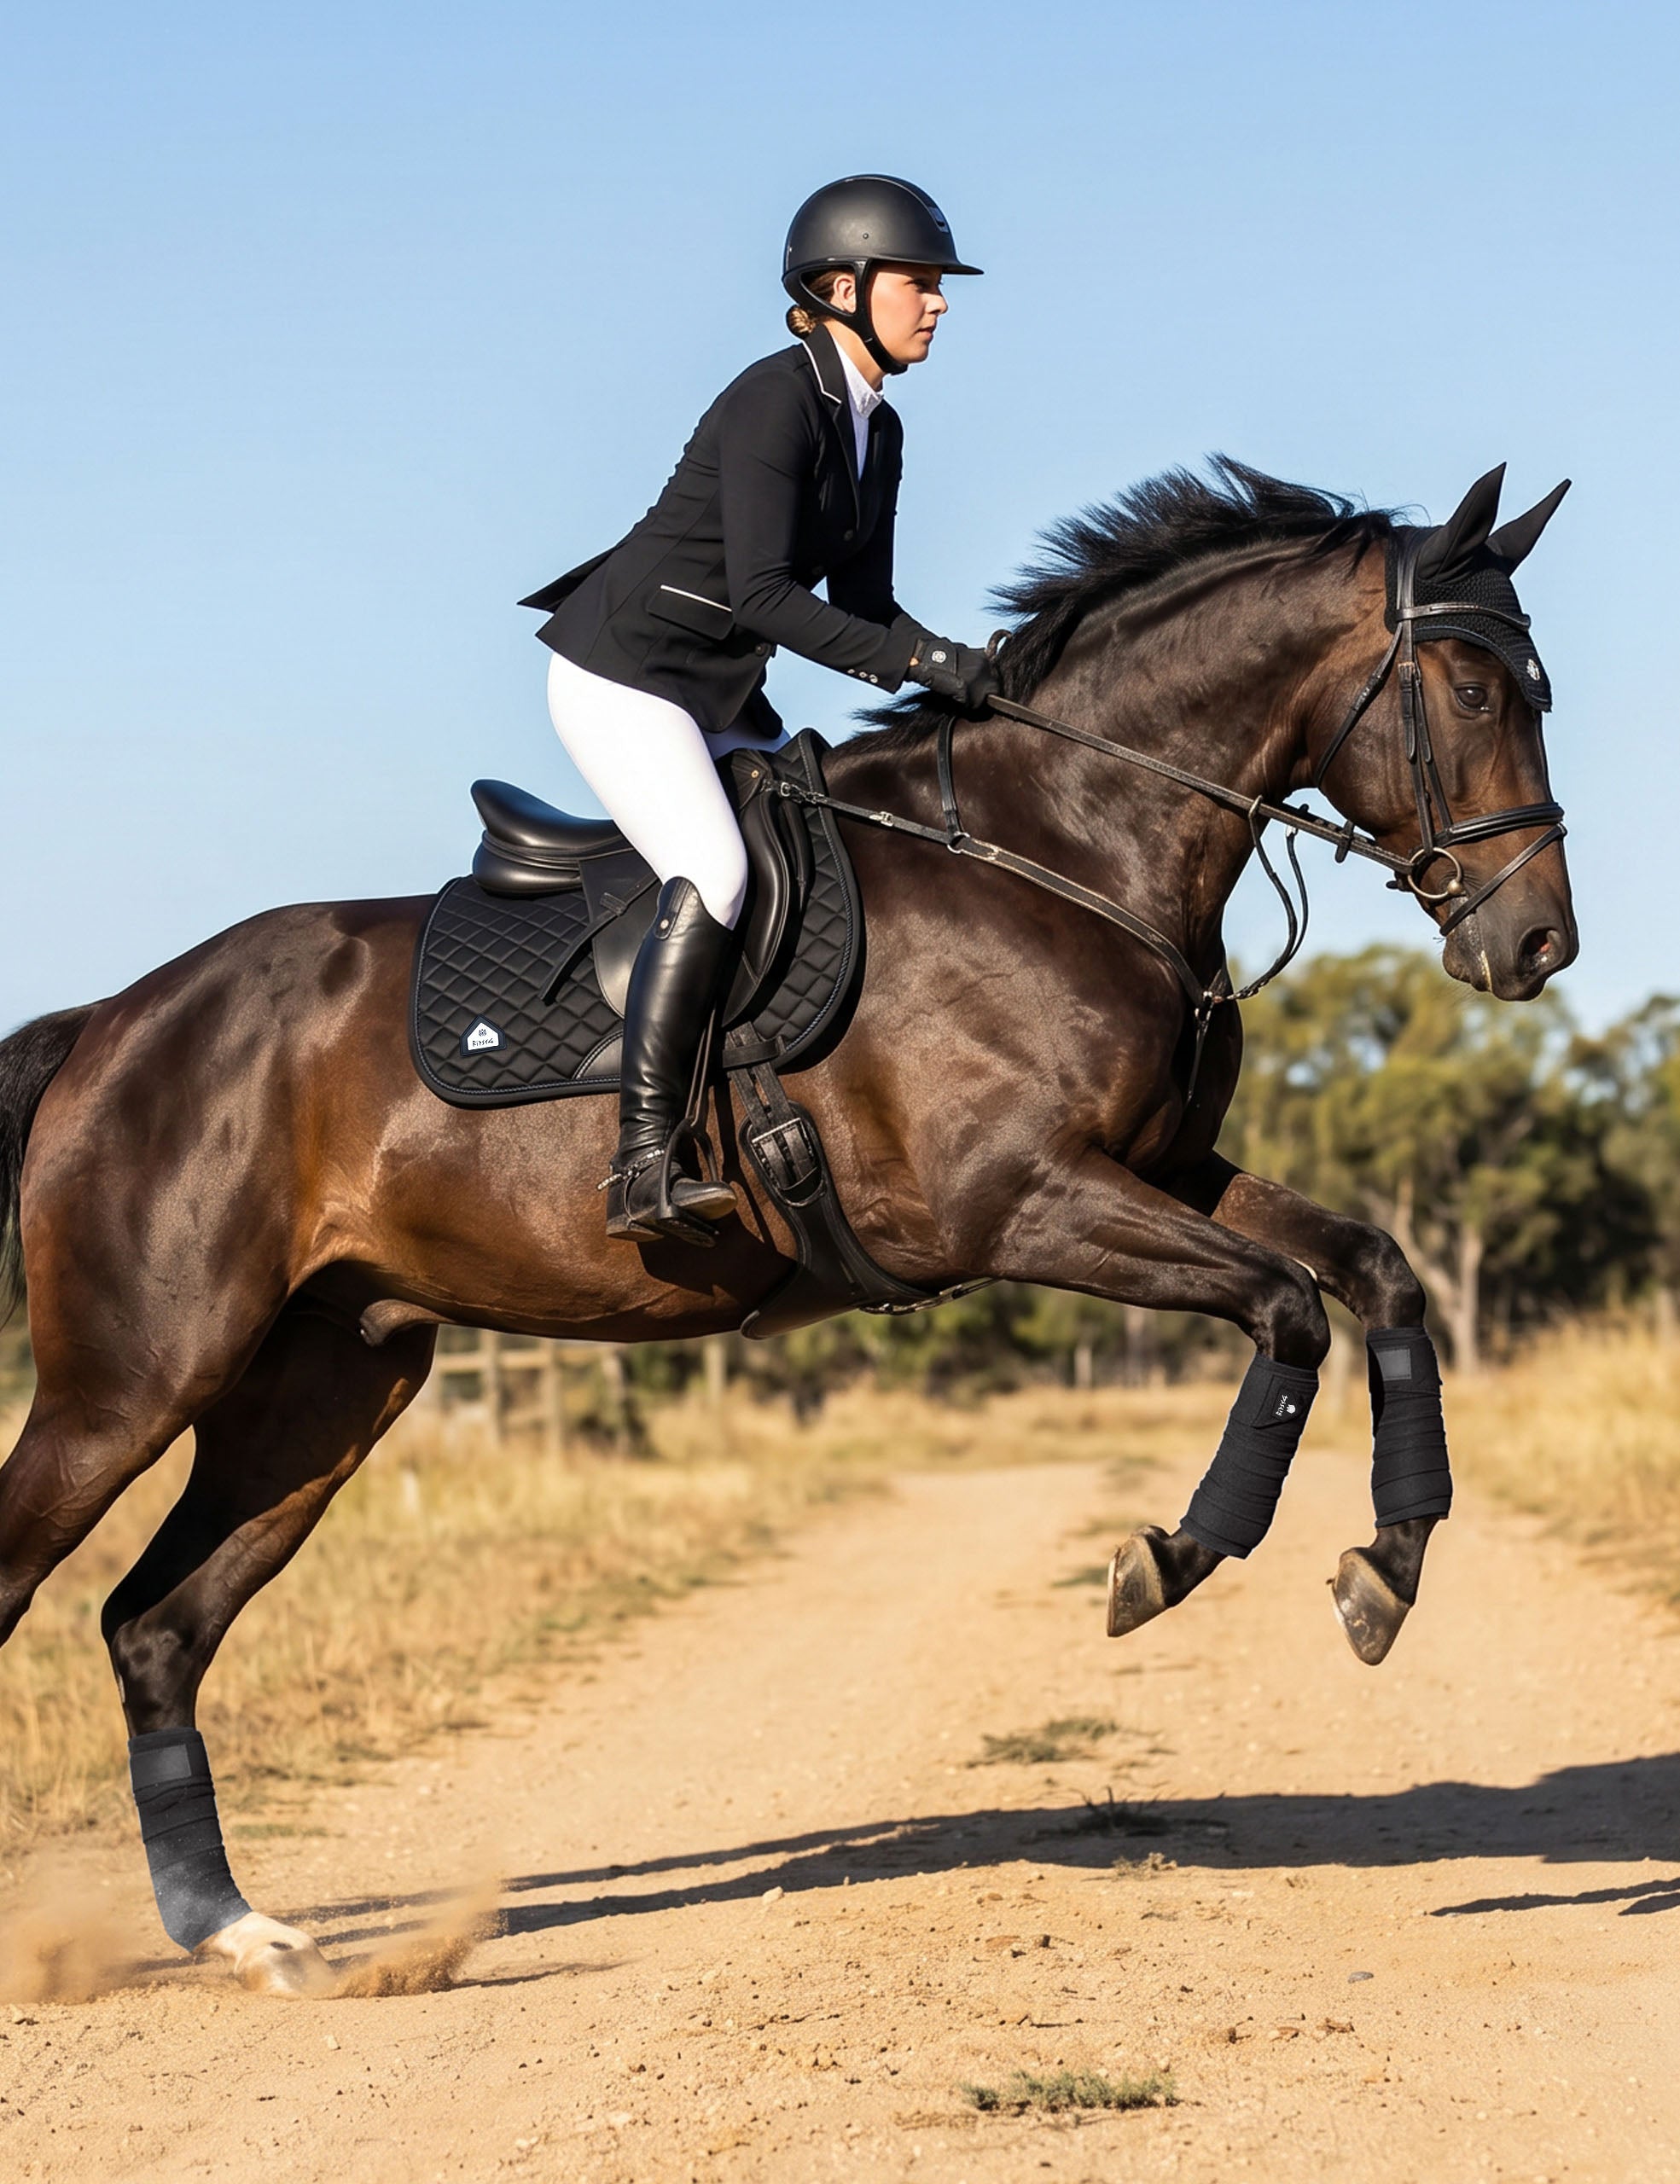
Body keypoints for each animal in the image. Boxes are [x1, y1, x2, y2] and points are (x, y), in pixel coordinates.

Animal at [0, 459, 1576, 1993]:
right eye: (1473, 691)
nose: (1535, 946)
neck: (1060, 847)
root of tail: (113, 1021)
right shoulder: (1021, 1200)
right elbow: (1286, 1308)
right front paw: (1169, 1562)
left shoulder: (1160, 1170)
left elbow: (1375, 1276)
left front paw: (1385, 1572)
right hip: (134, 1382)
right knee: (45, 1581)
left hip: (326, 1385)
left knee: (156, 1630)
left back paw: (240, 1934)